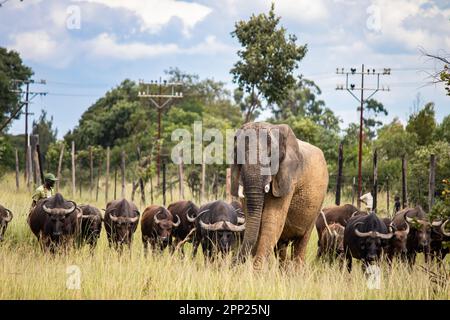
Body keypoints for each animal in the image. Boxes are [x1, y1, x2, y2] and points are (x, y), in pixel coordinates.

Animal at [230, 121, 328, 268]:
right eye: (239, 154)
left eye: (270, 157)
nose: (230, 264)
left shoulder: (289, 176)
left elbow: (272, 220)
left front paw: (257, 271)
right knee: (281, 246)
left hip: (318, 204)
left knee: (301, 242)